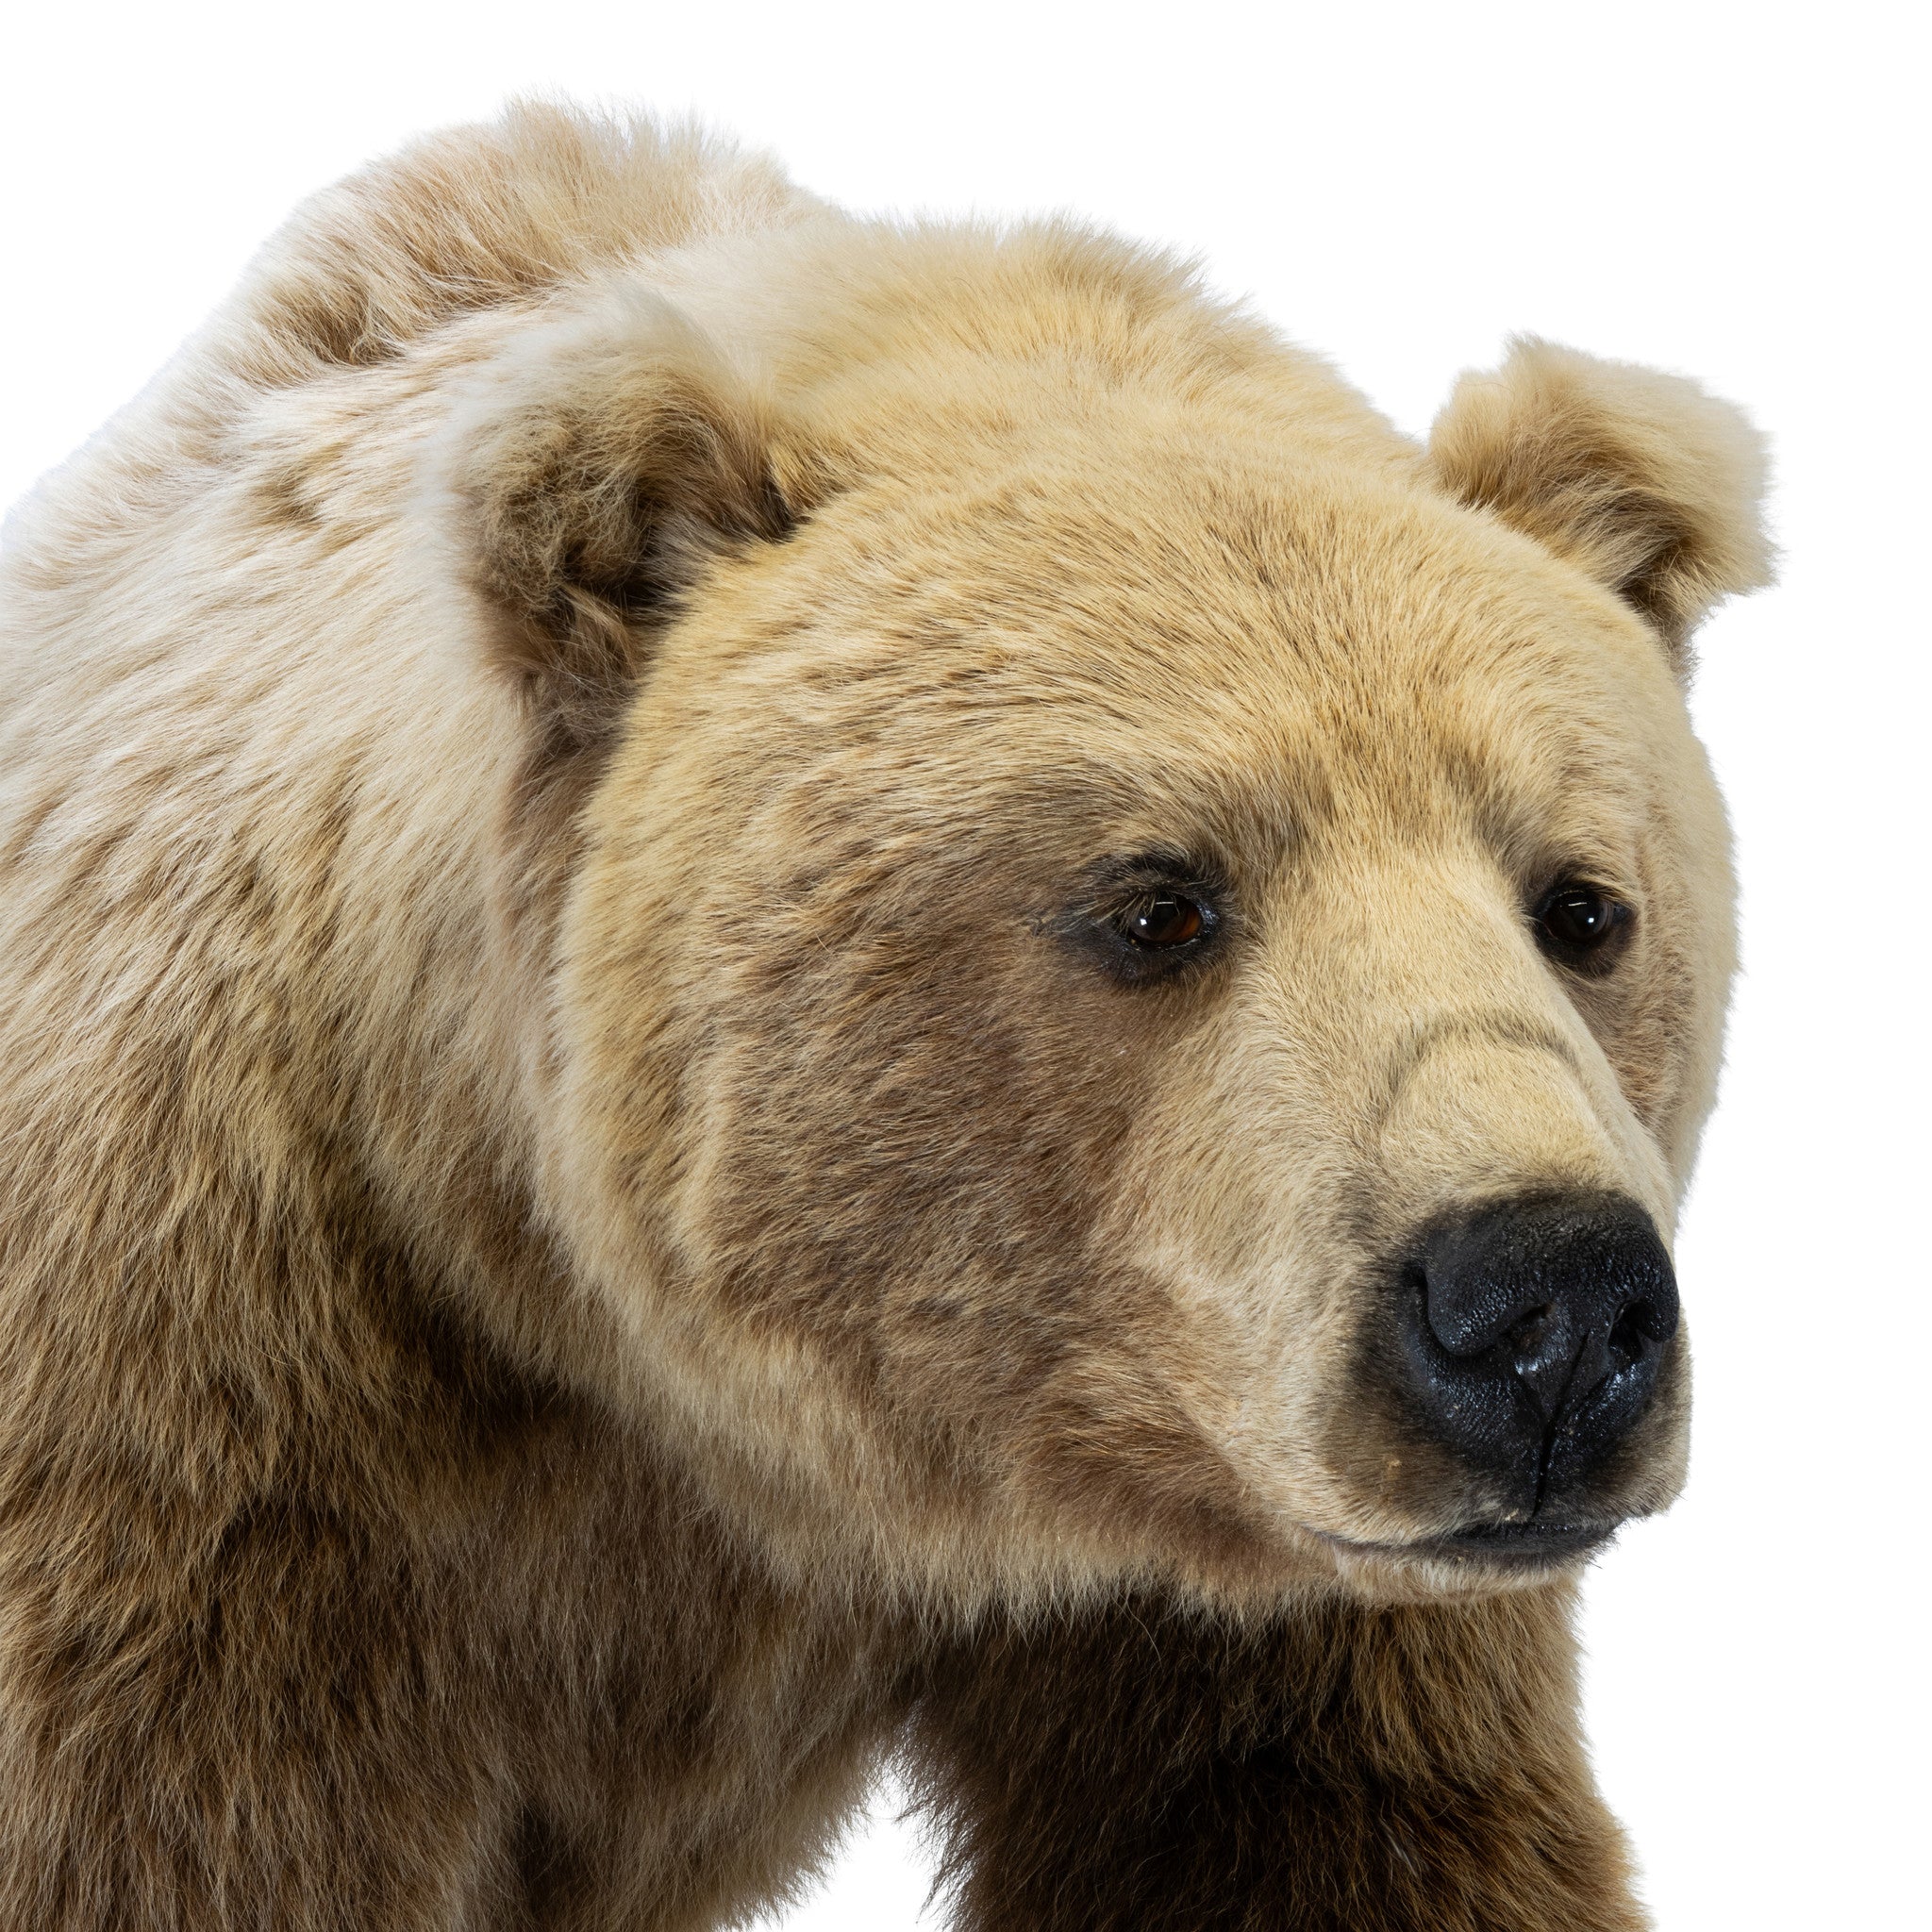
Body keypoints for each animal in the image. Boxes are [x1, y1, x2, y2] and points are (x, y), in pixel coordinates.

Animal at [0, 101, 1770, 1931]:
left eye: (1579, 904)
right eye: (1158, 901)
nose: (1544, 1299)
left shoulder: (1262, 1564)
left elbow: (1337, 1827)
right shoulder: (216, 1431)